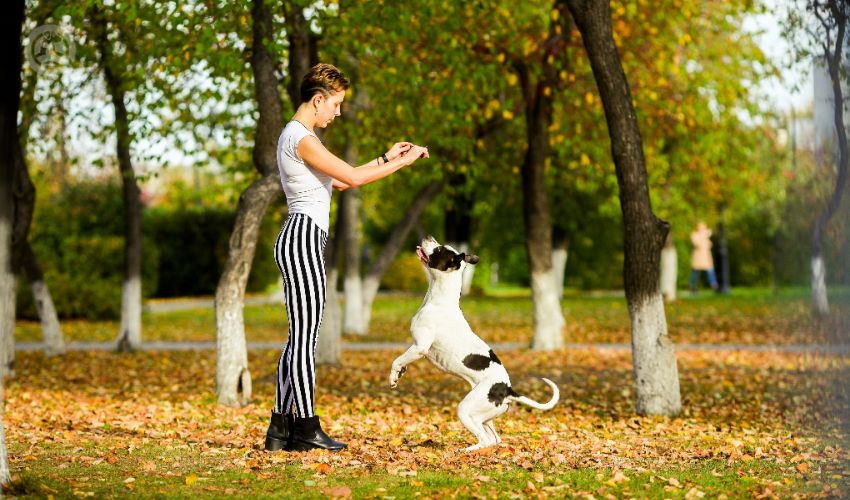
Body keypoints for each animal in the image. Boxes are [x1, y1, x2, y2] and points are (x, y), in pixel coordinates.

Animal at [390, 236, 560, 452]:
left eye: (439, 249)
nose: (428, 237)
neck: (439, 300)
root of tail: (508, 390)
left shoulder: (420, 347)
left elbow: (396, 360)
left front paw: (392, 377)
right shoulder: (416, 348)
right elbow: (402, 362)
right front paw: (398, 376)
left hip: (466, 410)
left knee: (484, 440)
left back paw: (465, 451)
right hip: (485, 417)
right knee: (494, 439)